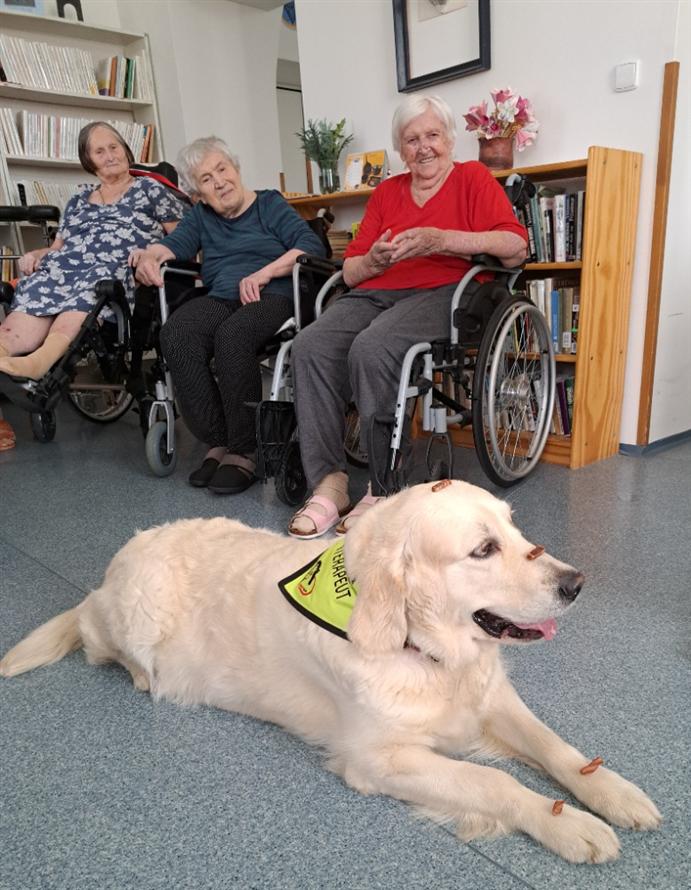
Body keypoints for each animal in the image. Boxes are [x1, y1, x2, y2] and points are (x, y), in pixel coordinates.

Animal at [0, 480, 660, 863]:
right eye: (482, 549)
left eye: (515, 528)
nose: (576, 583)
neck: (420, 648)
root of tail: (112, 570)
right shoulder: (378, 759)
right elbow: (496, 783)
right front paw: (571, 828)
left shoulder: (491, 699)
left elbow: (557, 749)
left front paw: (615, 794)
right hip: (130, 618)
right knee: (93, 634)